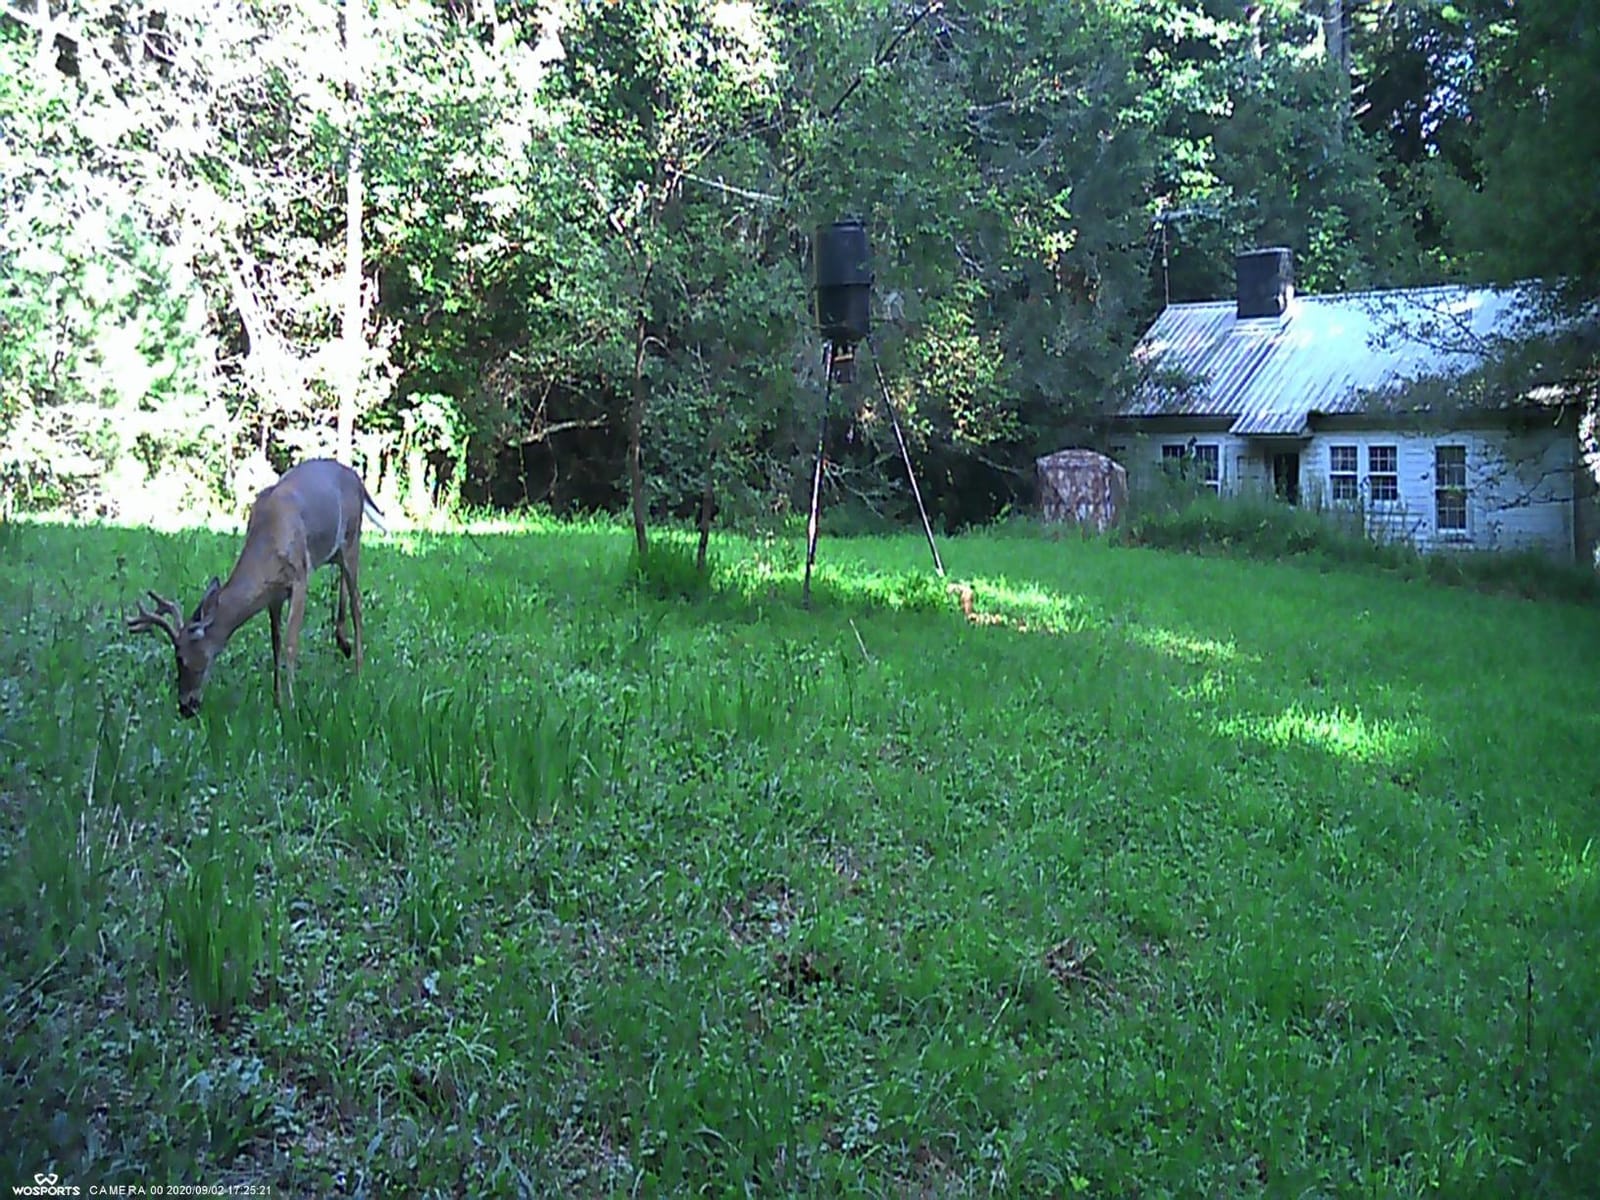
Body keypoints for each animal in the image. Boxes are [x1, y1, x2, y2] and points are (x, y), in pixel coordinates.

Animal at [127, 458, 385, 719]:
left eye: (181, 658)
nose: (185, 707)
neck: (267, 543)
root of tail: (357, 479)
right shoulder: (273, 595)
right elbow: (276, 645)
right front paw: (277, 702)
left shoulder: (299, 577)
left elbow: (290, 644)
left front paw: (292, 706)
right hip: (335, 551)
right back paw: (343, 642)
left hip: (352, 538)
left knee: (357, 603)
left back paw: (359, 673)